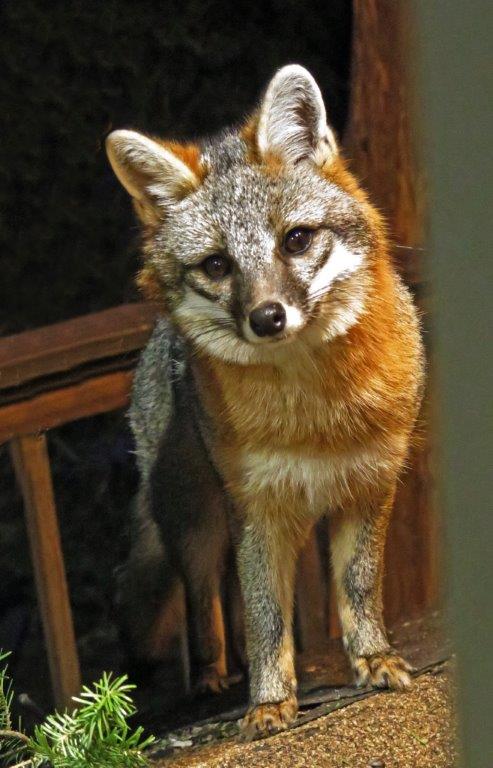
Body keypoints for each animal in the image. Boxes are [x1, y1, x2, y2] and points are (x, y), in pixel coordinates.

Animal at [106, 64, 424, 740]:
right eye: (218, 265)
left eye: (296, 240)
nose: (267, 317)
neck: (315, 416)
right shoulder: (258, 510)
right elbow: (264, 616)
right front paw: (270, 702)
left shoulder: (370, 486)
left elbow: (358, 589)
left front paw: (374, 659)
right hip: (198, 522)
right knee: (205, 598)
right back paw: (213, 677)